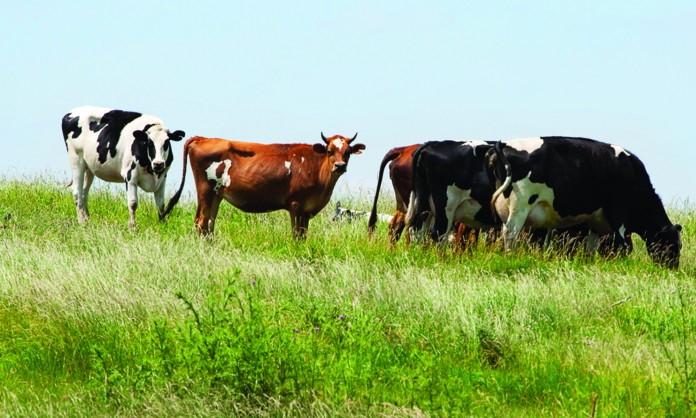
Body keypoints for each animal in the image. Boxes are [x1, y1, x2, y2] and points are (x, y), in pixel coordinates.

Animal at [162, 133, 365, 239]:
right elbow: (296, 234)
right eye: (330, 151)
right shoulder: (295, 205)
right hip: (206, 190)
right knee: (202, 222)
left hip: (217, 195)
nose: (340, 165)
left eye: (348, 152)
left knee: (209, 223)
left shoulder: (307, 210)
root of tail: (203, 137)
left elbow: (303, 234)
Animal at [487, 136, 682, 268]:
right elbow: (622, 245)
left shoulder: (595, 221)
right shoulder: (618, 213)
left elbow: (591, 247)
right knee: (510, 233)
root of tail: (503, 144)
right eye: (672, 244)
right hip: (520, 206)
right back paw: (511, 257)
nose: (672, 268)